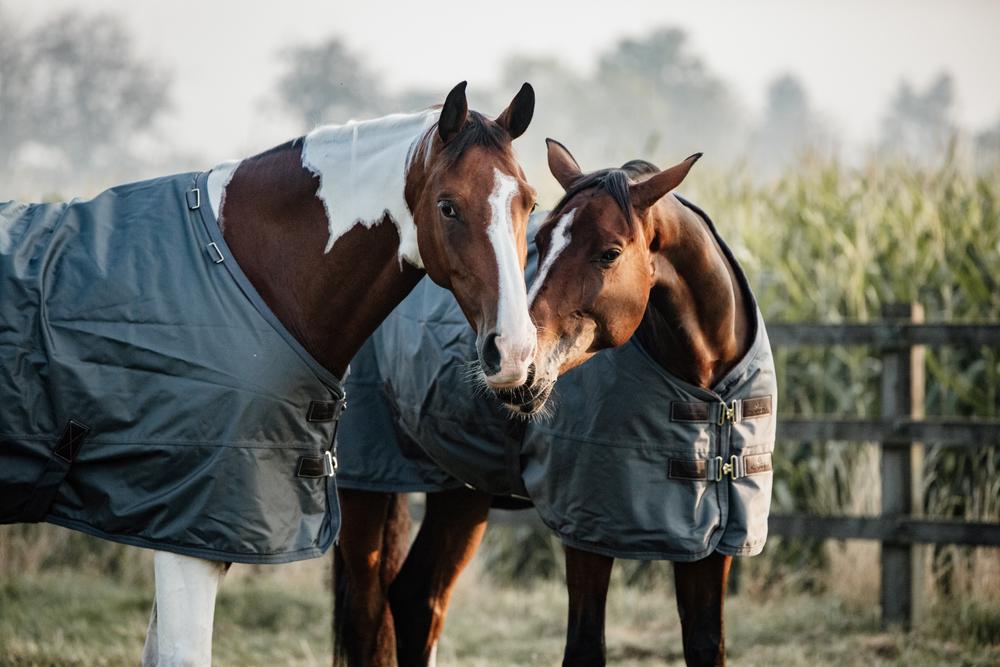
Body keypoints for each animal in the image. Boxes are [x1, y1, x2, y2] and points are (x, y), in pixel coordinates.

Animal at [0, 81, 544, 664]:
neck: (242, 271)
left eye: (530, 202)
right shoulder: (188, 532)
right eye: (448, 206)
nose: (514, 351)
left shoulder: (185, 530)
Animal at [336, 138, 772, 664]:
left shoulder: (711, 542)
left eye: (609, 253)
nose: (517, 363)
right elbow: (584, 647)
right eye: (541, 241)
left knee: (418, 600)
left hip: (461, 491)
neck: (706, 391)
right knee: (367, 613)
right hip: (363, 486)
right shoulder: (587, 530)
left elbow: (707, 645)